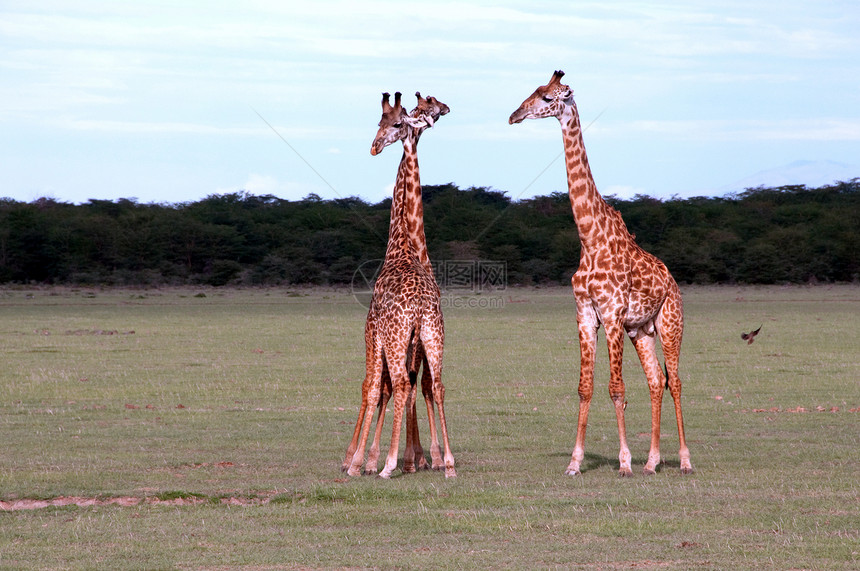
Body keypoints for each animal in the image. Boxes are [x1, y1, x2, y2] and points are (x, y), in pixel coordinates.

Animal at [340, 91, 456, 480]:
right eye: (426, 104)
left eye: (389, 123)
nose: (374, 147)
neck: (403, 242)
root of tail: (418, 304)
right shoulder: (416, 342)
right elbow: (410, 386)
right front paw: (422, 457)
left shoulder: (372, 330)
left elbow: (374, 387)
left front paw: (361, 459)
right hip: (433, 334)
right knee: (435, 385)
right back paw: (448, 463)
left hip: (395, 337)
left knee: (400, 384)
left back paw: (388, 463)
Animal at [508, 71, 696, 478]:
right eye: (532, 91)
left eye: (547, 97)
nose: (515, 115)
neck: (589, 237)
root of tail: (673, 282)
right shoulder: (585, 315)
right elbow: (585, 387)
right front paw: (574, 462)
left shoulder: (611, 314)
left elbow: (616, 388)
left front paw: (623, 462)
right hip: (641, 330)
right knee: (656, 381)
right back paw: (652, 462)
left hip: (670, 322)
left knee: (675, 382)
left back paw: (684, 460)